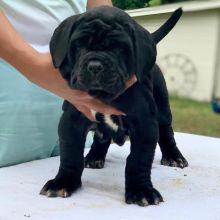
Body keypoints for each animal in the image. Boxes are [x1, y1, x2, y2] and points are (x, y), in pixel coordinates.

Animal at [40, 6, 188, 207]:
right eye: (79, 44)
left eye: (119, 48)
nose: (95, 65)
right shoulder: (71, 120)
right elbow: (70, 154)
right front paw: (63, 182)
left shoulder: (144, 123)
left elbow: (138, 159)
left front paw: (141, 190)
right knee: (101, 138)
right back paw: (95, 156)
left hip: (163, 110)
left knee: (167, 133)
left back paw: (174, 157)